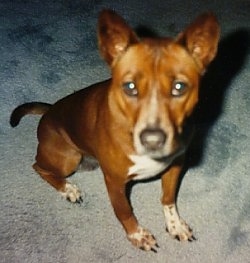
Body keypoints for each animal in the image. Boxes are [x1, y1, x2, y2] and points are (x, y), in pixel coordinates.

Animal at [10, 9, 220, 252]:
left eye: (179, 87)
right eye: (130, 86)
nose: (153, 140)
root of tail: (50, 110)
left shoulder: (175, 167)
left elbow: (168, 200)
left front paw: (174, 225)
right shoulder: (115, 182)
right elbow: (125, 212)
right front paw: (137, 235)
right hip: (69, 158)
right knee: (38, 167)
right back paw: (68, 188)